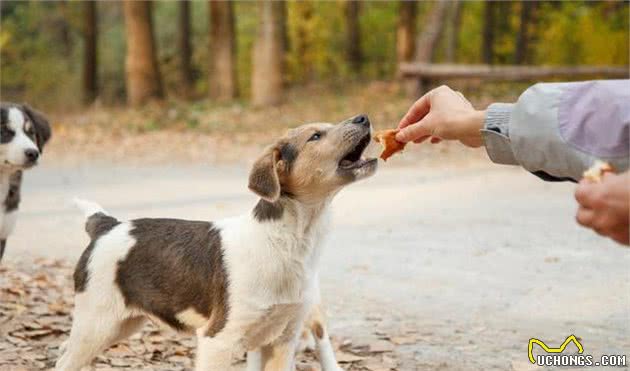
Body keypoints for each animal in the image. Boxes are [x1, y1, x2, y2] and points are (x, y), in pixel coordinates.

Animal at [56, 115, 378, 370]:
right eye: (315, 136)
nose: (363, 117)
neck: (286, 241)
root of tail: (106, 225)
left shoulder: (282, 341)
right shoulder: (218, 340)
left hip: (121, 324)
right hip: (97, 323)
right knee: (64, 361)